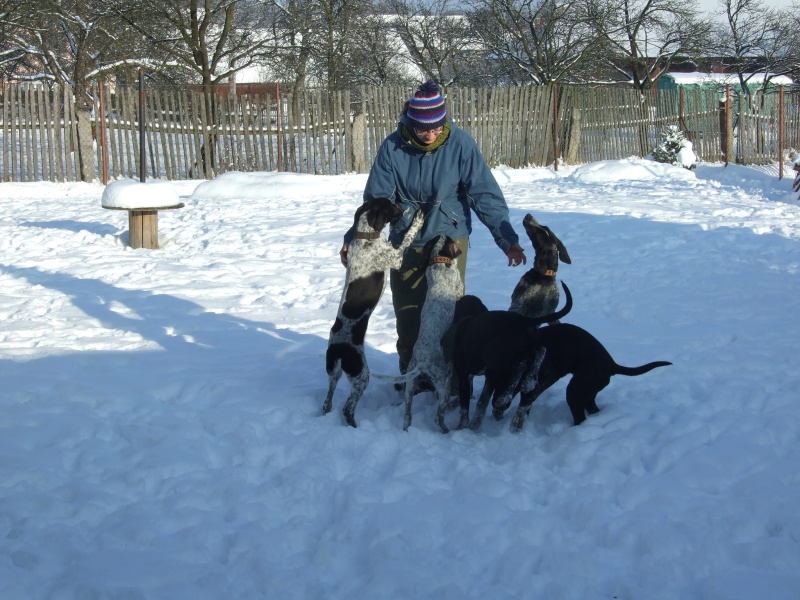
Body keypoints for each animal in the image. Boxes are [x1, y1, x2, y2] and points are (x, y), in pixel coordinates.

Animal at [324, 198, 424, 427]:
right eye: (390, 206)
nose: (401, 206)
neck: (365, 236)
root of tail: (339, 349)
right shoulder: (395, 258)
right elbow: (407, 237)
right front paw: (417, 219)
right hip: (361, 375)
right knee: (347, 408)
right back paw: (354, 427)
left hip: (333, 372)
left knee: (328, 400)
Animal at [401, 235, 464, 433]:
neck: (439, 261)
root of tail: (422, 362)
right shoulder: (458, 285)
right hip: (443, 384)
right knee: (438, 417)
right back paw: (446, 430)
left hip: (410, 385)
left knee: (407, 414)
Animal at [453, 282, 573, 431]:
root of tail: (527, 320)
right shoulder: (490, 376)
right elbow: (482, 403)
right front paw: (475, 424)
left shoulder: (465, 375)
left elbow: (465, 407)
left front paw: (462, 426)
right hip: (528, 345)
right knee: (539, 351)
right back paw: (529, 381)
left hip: (500, 352)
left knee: (522, 363)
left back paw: (508, 394)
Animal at [478, 322, 672, 433]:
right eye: (493, 384)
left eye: (506, 383)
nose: (497, 404)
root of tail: (611, 364)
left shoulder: (549, 374)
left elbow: (528, 396)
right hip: (586, 392)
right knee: (591, 410)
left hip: (575, 391)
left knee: (580, 418)